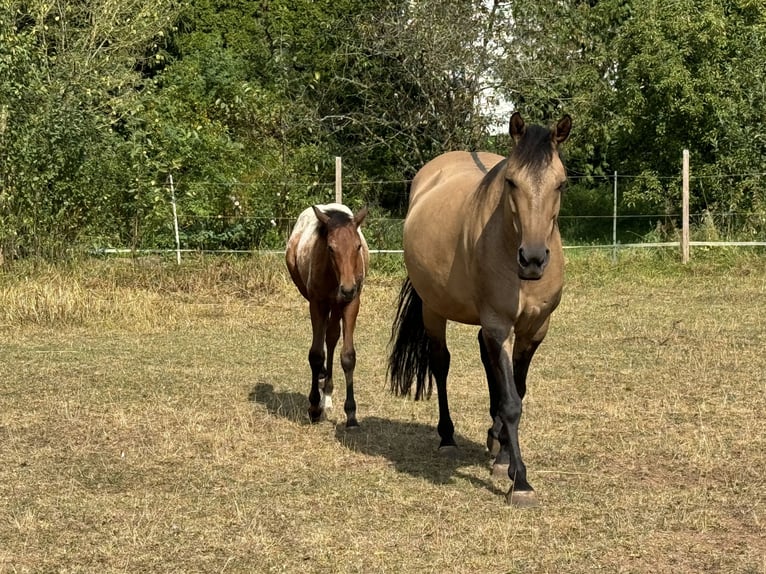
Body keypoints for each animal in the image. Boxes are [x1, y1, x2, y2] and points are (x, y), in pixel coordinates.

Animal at [288, 205, 372, 430]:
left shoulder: (352, 303)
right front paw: (314, 407)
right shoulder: (317, 304)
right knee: (326, 339)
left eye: (357, 246)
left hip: (337, 306)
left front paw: (351, 414)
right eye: (331, 248)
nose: (348, 288)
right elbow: (316, 355)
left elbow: (348, 356)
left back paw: (327, 393)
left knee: (332, 337)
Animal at [390, 113, 568, 508]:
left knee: (488, 366)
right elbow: (511, 401)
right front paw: (521, 482)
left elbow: (515, 389)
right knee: (441, 364)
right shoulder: (499, 325)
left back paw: (493, 440)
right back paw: (447, 437)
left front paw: (504, 457)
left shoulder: (535, 328)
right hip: (434, 310)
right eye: (511, 182)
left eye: (561, 183)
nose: (533, 260)